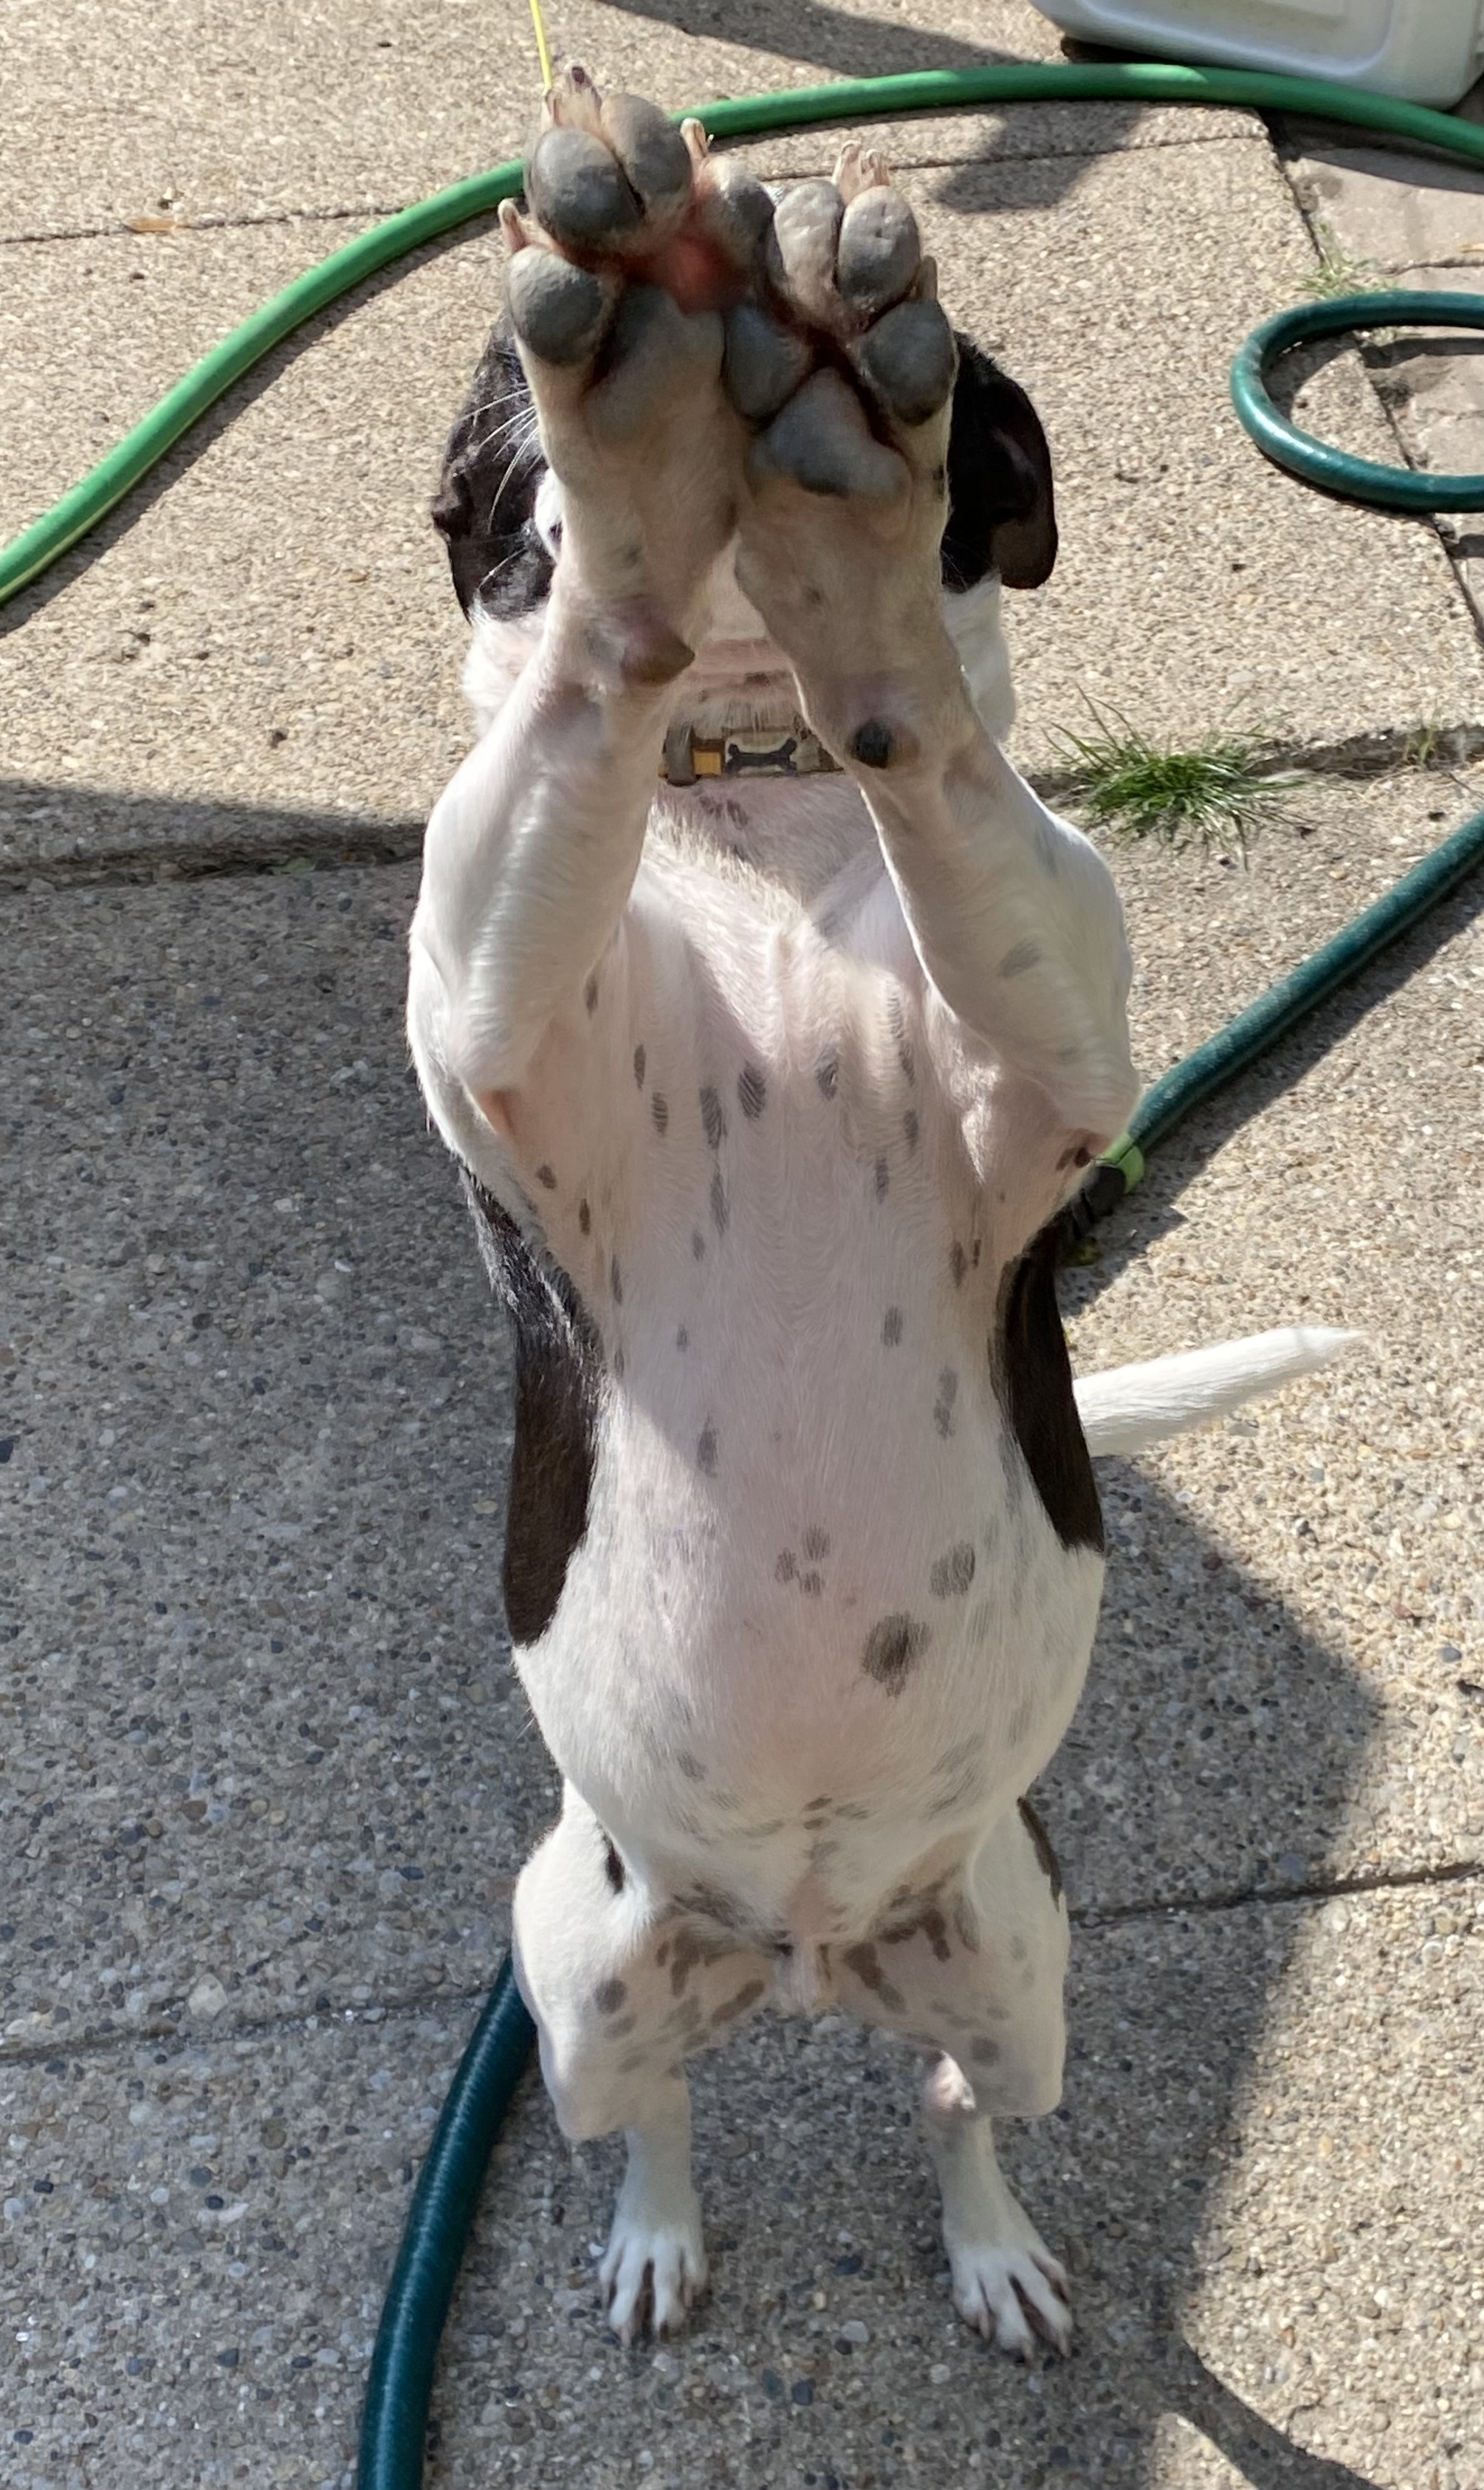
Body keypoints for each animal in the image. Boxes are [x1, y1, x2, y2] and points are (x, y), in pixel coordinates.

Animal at [403, 83, 1344, 2350]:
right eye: (487, 436)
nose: (735, 282)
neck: (755, 787)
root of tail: (805, 1941)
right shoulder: (494, 1013)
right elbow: (589, 672)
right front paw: (639, 446)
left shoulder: (1052, 1051)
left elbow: (938, 753)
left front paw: (846, 518)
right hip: (573, 1971)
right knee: (651, 2105)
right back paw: (655, 2229)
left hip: (1022, 1960)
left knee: (954, 2103)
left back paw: (992, 2244)